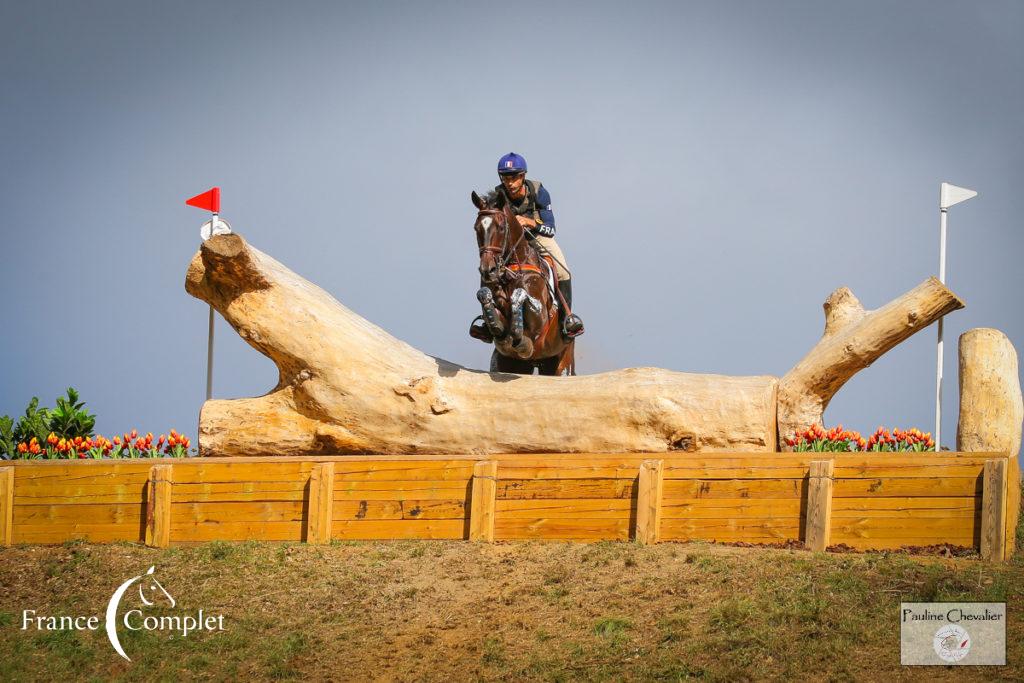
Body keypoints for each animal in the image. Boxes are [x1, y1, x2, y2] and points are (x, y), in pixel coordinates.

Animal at [471, 189, 577, 376]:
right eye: (477, 229)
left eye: (500, 227)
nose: (487, 271)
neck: (510, 271)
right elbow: (484, 295)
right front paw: (498, 325)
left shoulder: (540, 317)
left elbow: (520, 294)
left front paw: (519, 335)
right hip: (509, 364)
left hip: (563, 363)